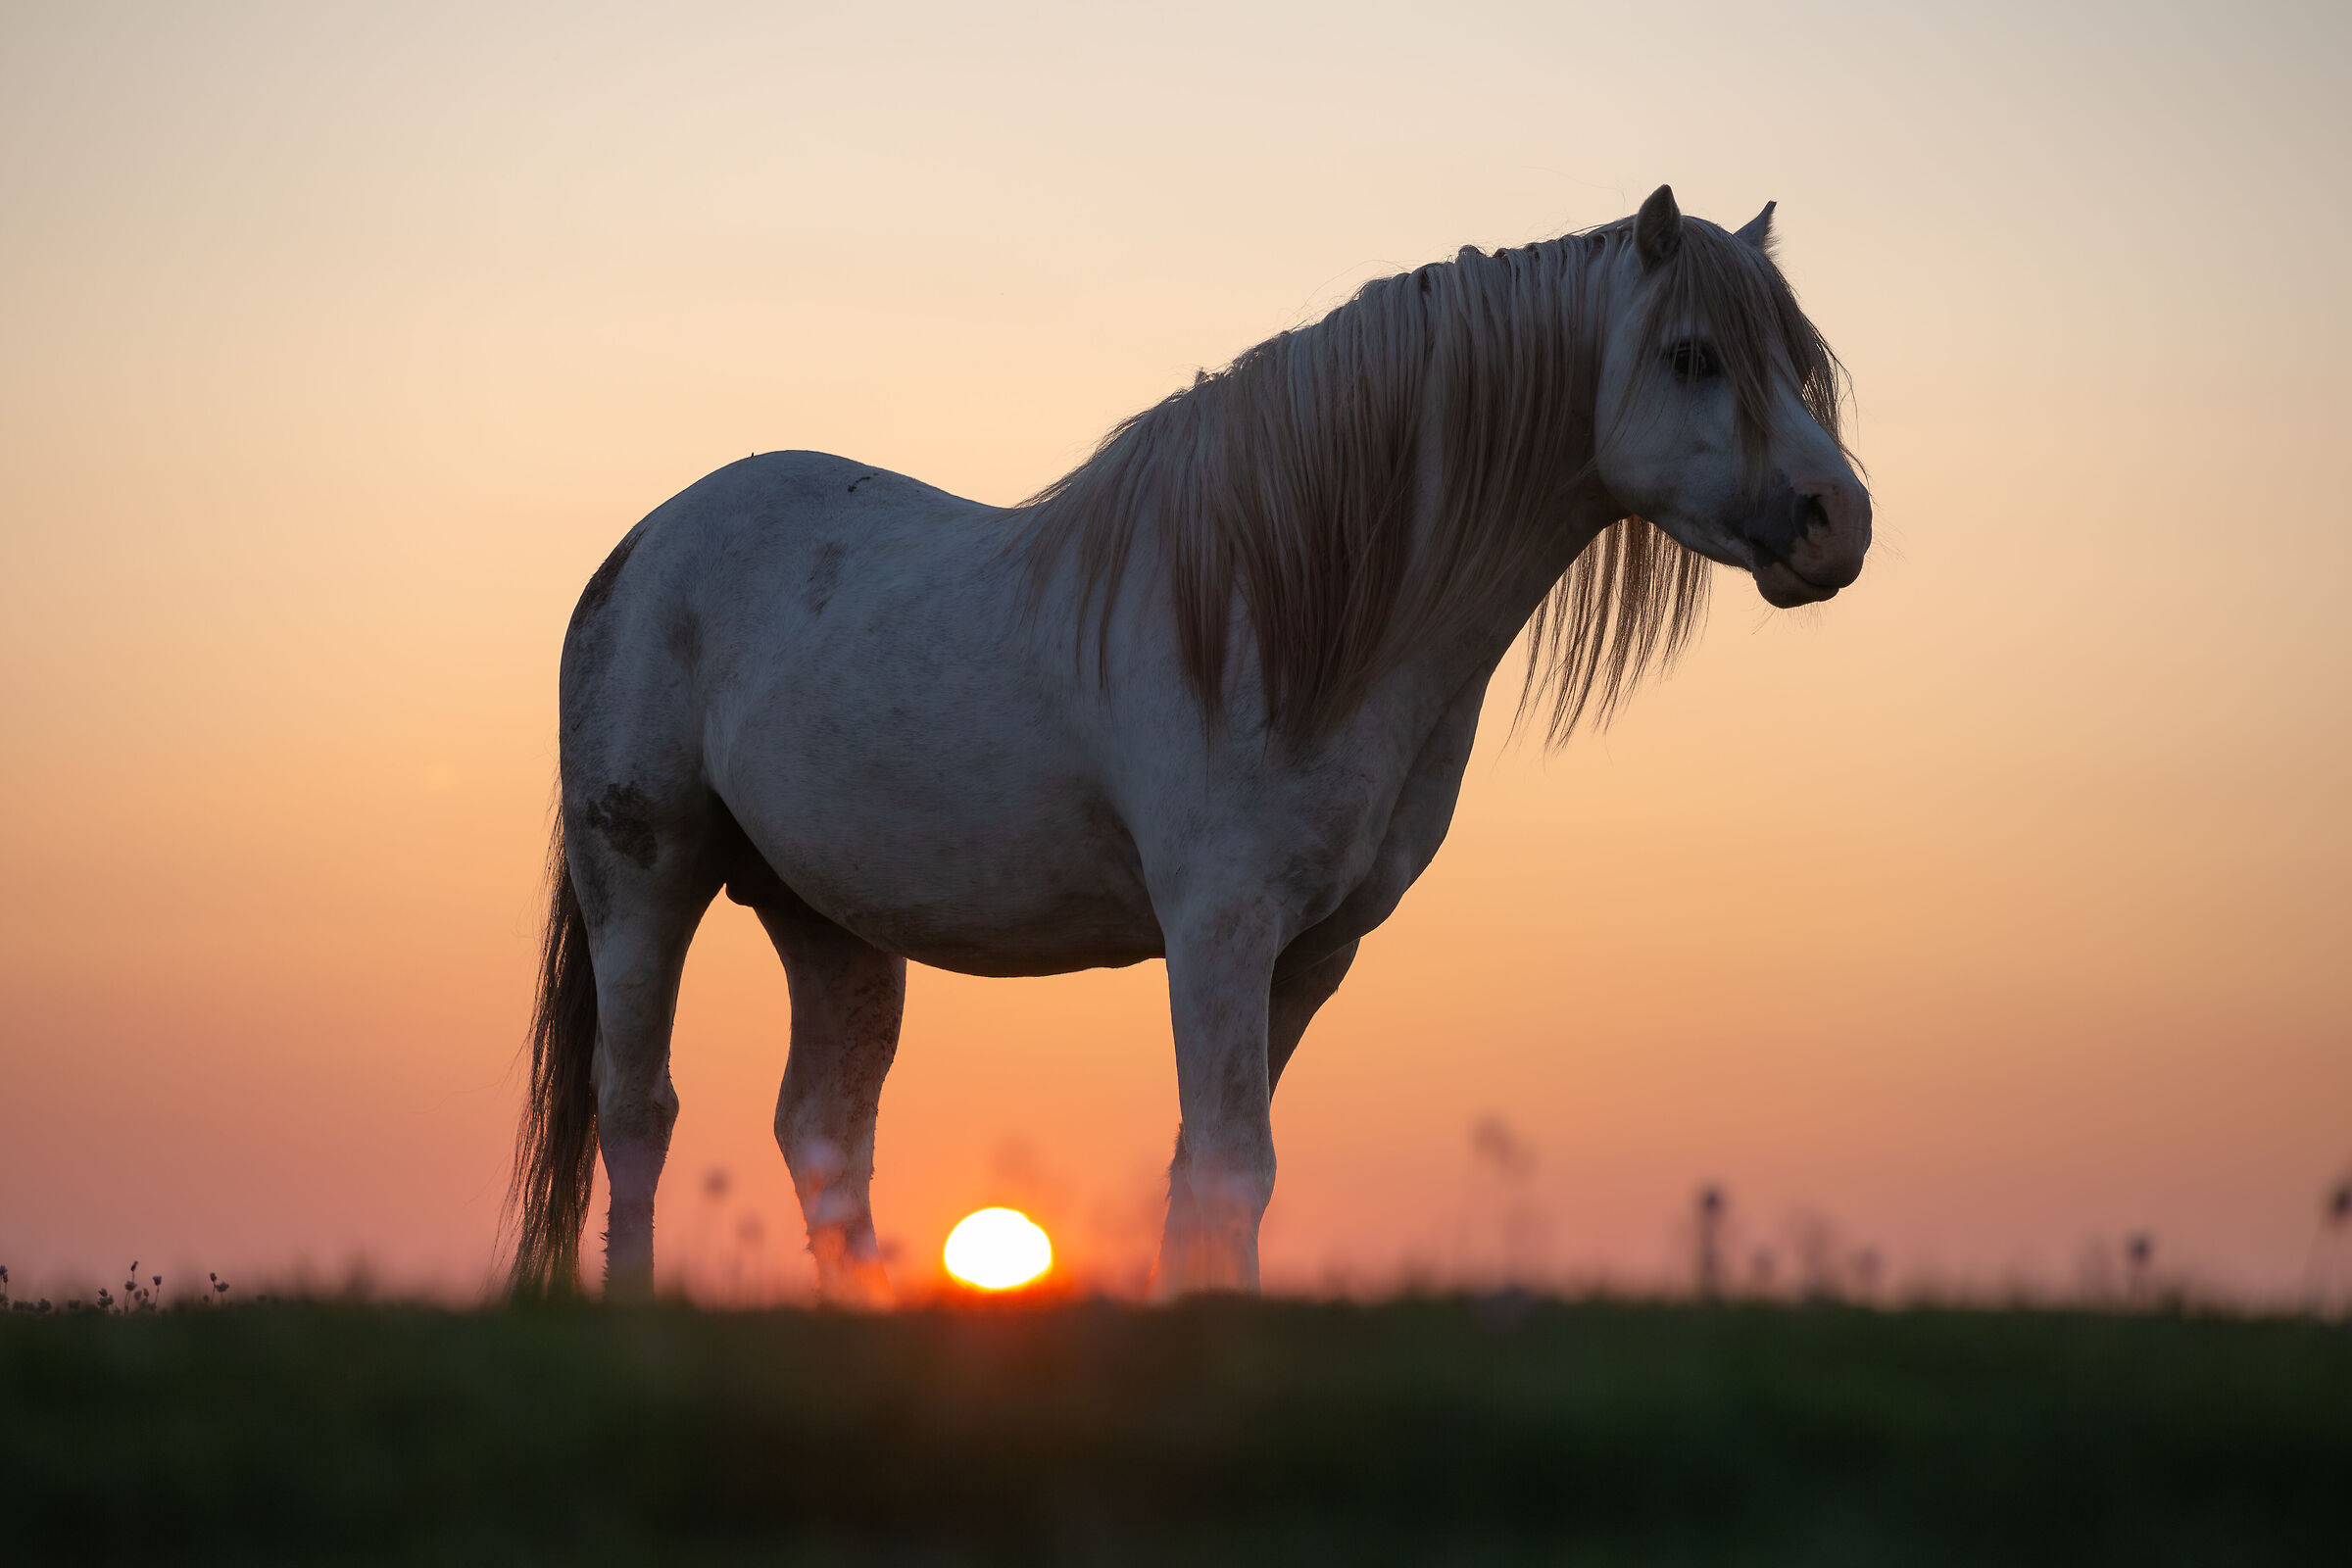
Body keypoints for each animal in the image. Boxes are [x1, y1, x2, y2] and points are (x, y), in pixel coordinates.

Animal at [507, 185, 1870, 1301]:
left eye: (1798, 365)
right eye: (1693, 354)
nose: (1835, 521)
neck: (1292, 609)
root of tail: (639, 547)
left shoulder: (1309, 954)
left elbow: (1210, 1173)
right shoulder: (1218, 927)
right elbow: (1228, 1166)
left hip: (829, 922)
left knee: (826, 1138)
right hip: (644, 879)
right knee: (639, 1109)